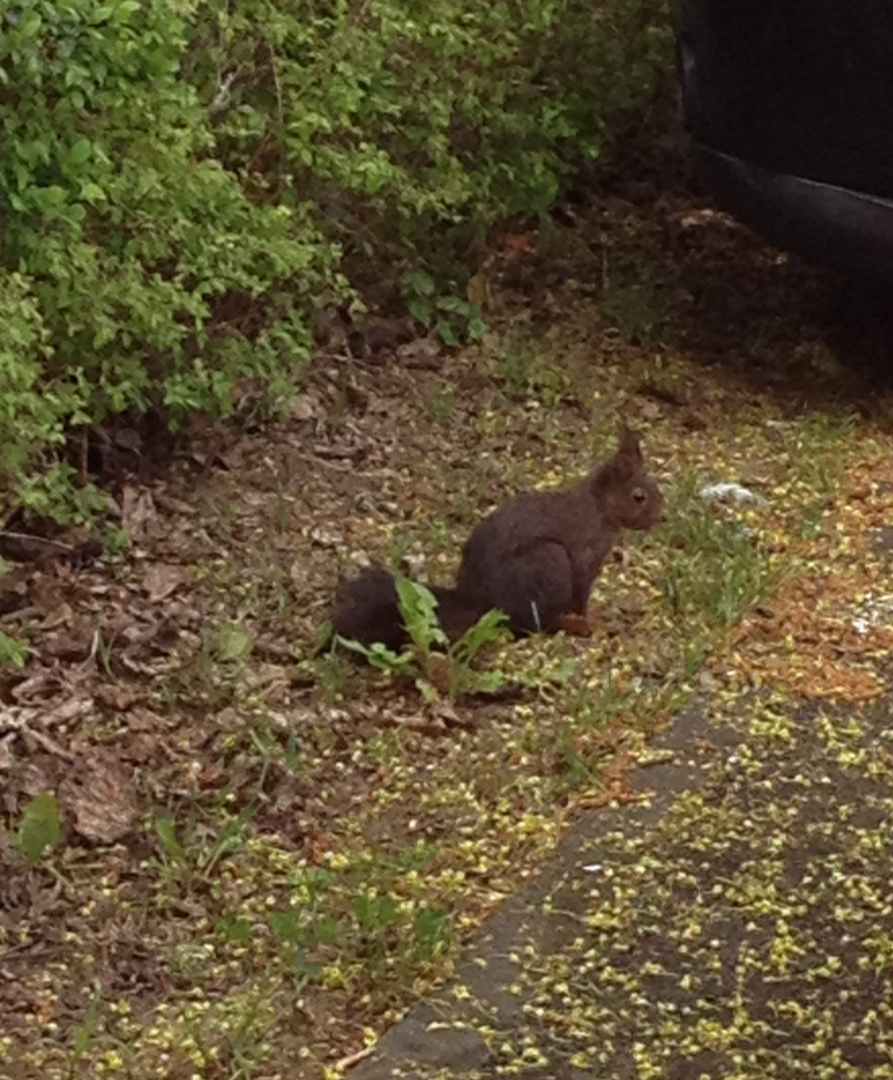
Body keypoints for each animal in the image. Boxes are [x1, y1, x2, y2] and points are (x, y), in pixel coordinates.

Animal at [328, 425, 665, 648]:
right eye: (638, 497)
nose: (661, 517)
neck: (599, 509)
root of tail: (483, 601)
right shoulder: (584, 554)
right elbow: (582, 593)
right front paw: (591, 620)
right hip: (548, 561)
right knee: (533, 623)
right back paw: (570, 625)